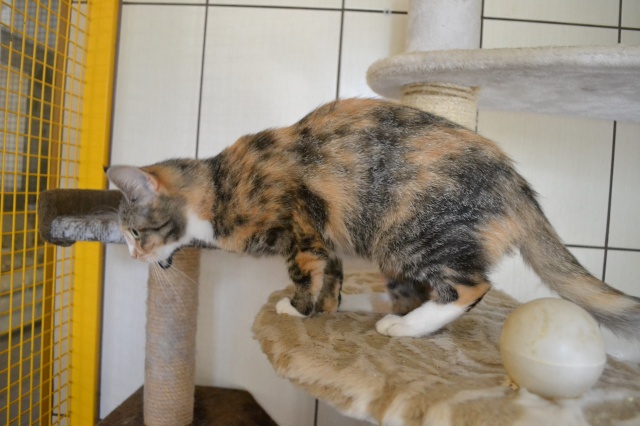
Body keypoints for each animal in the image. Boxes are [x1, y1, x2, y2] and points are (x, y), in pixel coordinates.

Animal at [106, 98, 640, 338]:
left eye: (133, 231)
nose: (130, 255)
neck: (218, 189)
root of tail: (514, 182)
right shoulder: (324, 240)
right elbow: (332, 275)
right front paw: (324, 310)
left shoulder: (301, 226)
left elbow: (303, 273)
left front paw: (295, 309)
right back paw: (396, 313)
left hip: (410, 234)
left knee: (471, 286)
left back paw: (407, 327)